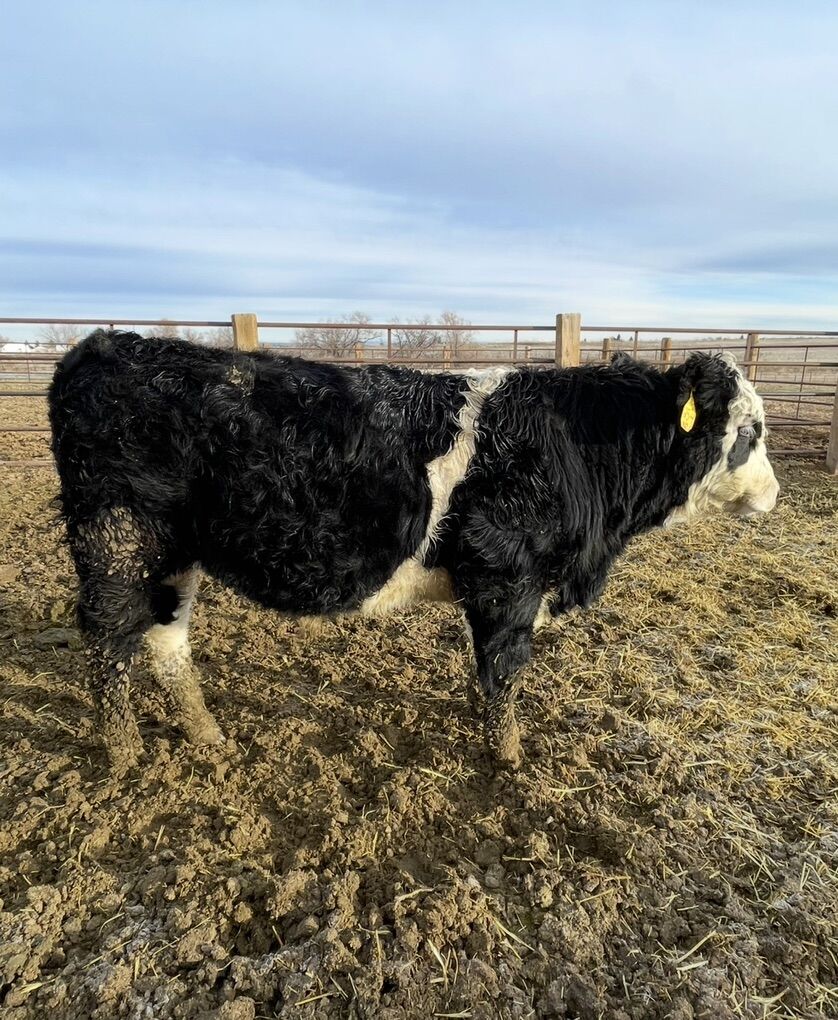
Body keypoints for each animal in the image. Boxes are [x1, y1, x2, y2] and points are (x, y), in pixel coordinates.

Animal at [48, 330, 779, 770]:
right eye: (751, 432)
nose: (774, 495)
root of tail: (107, 343)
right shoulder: (506, 578)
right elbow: (504, 669)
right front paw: (508, 756)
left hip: (174, 553)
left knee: (164, 636)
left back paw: (206, 734)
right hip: (115, 538)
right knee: (108, 639)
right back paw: (124, 754)